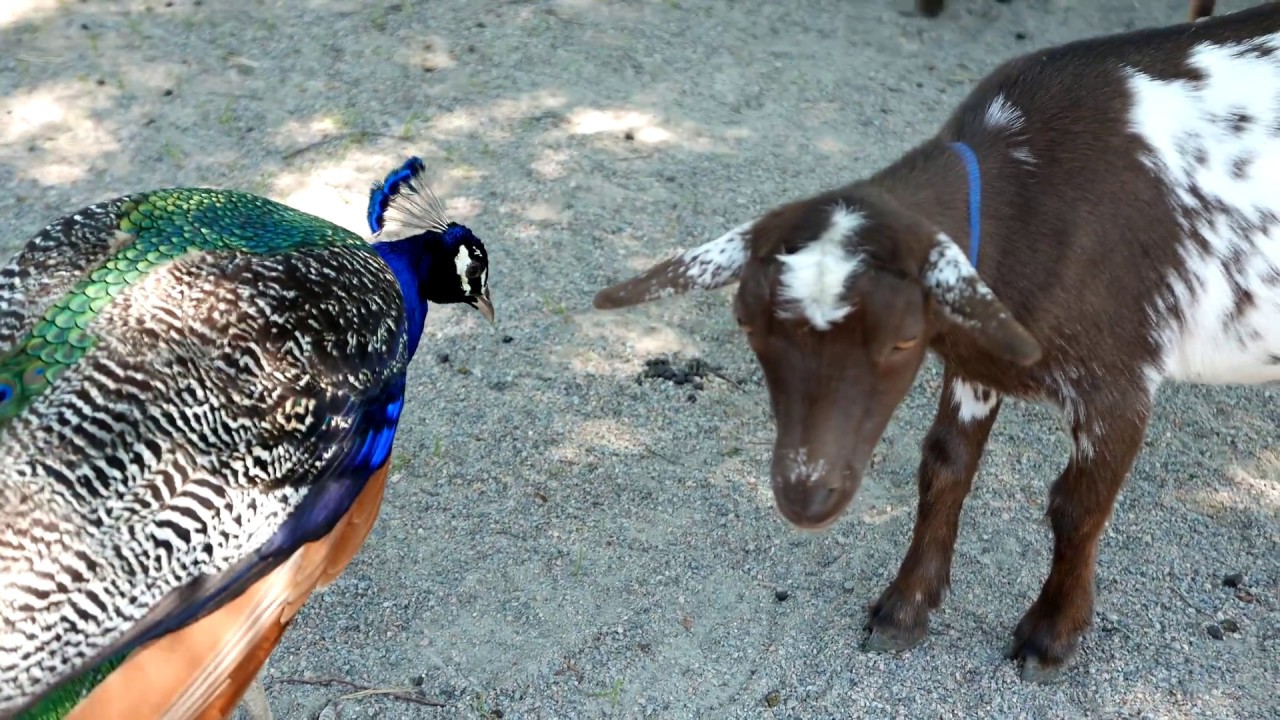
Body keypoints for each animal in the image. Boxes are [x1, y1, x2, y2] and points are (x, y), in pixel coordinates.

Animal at [593, 3, 1280, 682]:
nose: (805, 495)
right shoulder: (976, 365)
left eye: (903, 340)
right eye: (745, 321)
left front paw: (1052, 636)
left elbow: (1076, 505)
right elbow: (944, 466)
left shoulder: (1119, 385)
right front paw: (905, 607)